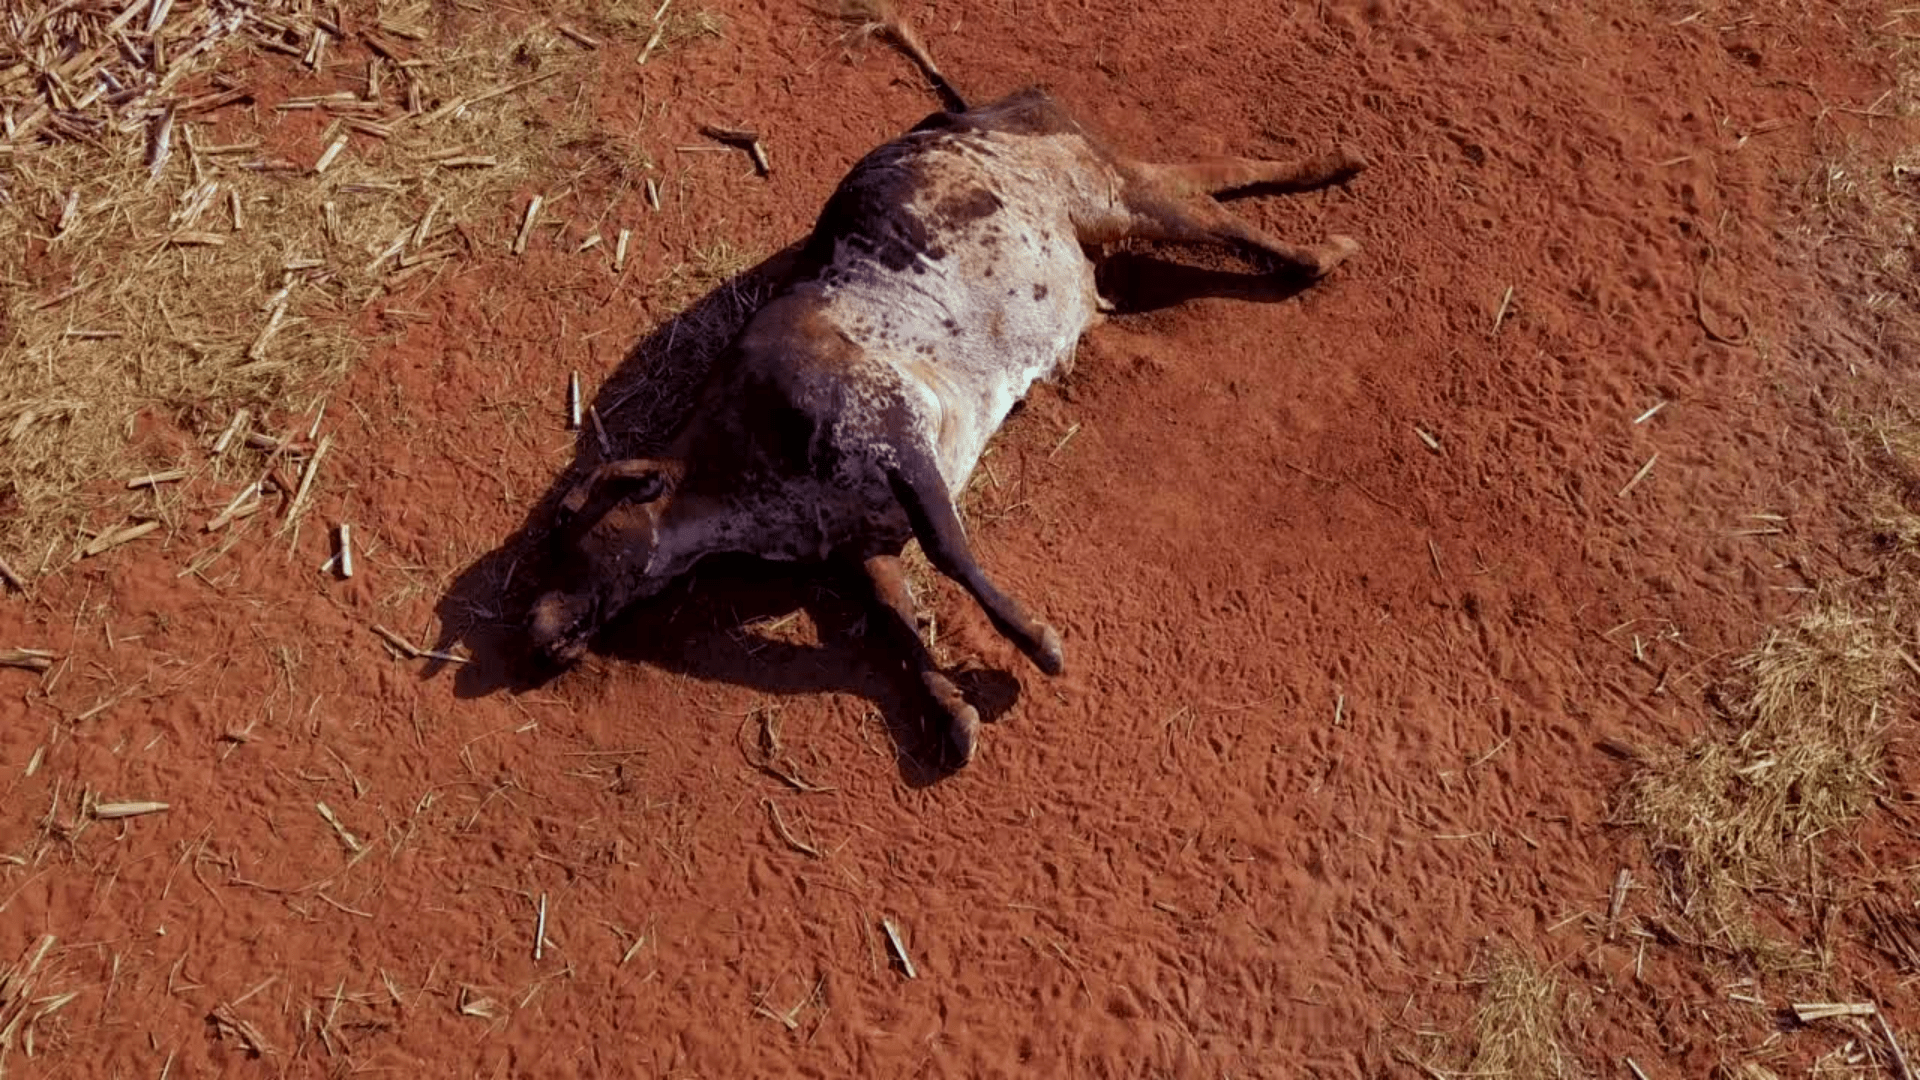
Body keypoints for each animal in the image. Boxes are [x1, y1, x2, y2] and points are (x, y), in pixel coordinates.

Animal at [527, 4, 1369, 765]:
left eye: (570, 533)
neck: (730, 467)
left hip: (1108, 195)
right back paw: (1332, 165)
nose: (530, 633)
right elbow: (896, 622)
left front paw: (1036, 642)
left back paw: (1324, 246)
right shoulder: (859, 541)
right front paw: (949, 710)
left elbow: (950, 553)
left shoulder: (893, 433)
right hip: (1113, 195)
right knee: (1211, 176)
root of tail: (974, 111)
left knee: (1230, 222)